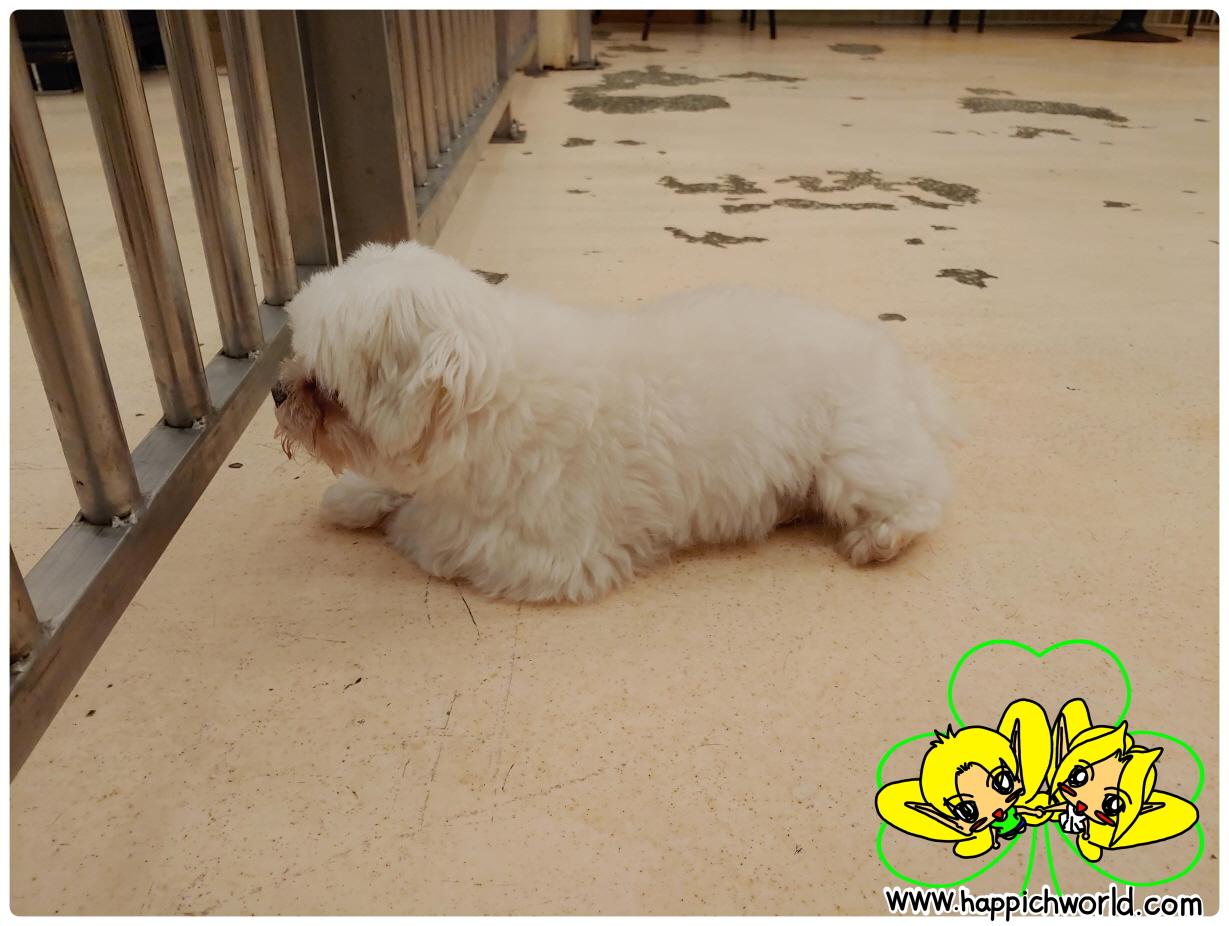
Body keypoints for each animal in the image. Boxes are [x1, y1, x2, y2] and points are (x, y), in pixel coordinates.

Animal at [273, 241, 961, 603]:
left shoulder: (541, 553)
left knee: (922, 499)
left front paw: (391, 515)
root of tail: (898, 368)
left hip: (854, 460)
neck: (489, 392)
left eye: (325, 385)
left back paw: (879, 538)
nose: (278, 390)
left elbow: (424, 525)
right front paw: (355, 496)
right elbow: (392, 485)